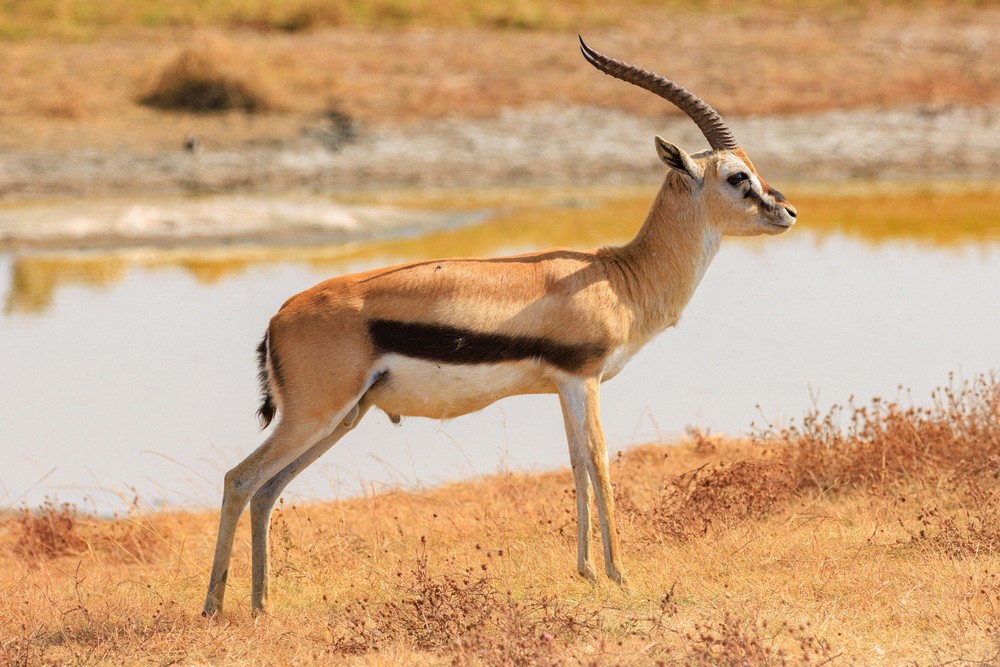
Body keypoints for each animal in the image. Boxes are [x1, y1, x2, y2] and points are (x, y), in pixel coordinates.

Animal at [202, 36, 797, 616]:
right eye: (737, 176)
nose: (787, 212)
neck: (615, 277)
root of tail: (278, 318)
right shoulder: (583, 380)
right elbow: (600, 462)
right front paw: (620, 576)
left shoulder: (565, 385)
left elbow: (576, 464)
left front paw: (587, 573)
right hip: (314, 414)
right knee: (240, 479)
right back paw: (213, 608)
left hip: (341, 417)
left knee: (267, 490)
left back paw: (261, 605)